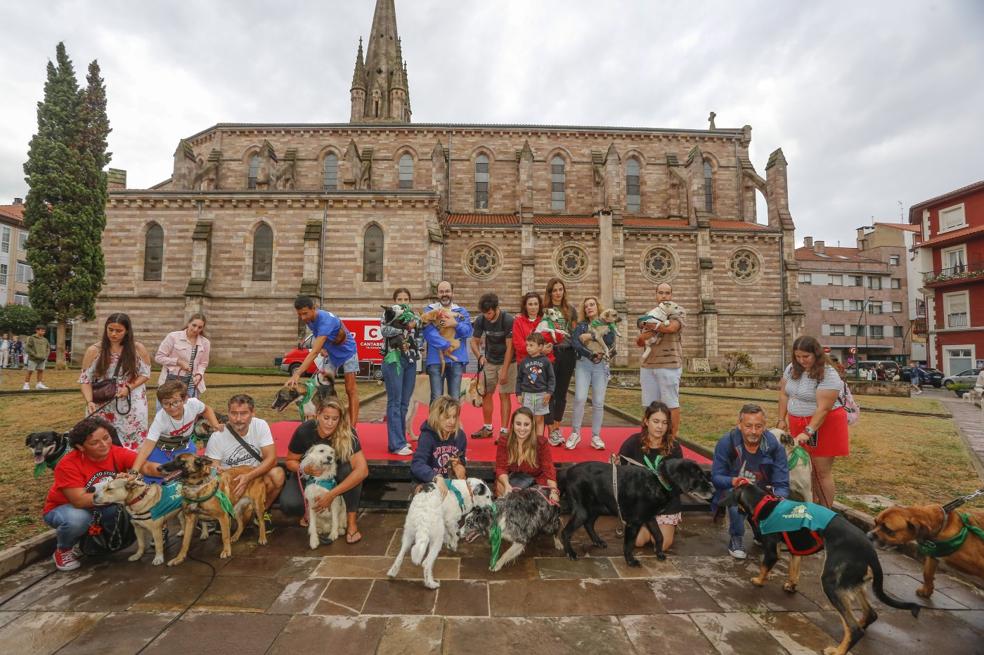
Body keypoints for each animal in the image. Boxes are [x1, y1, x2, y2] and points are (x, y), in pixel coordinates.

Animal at [560, 458, 716, 568]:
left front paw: (659, 553)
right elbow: (629, 544)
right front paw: (630, 561)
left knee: (588, 524)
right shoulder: (634, 522)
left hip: (597, 507)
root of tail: (568, 471)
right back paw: (570, 553)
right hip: (583, 510)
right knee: (566, 532)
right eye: (699, 477)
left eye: (704, 475)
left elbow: (659, 536)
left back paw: (597, 541)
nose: (714, 490)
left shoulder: (649, 518)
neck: (659, 481)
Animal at [720, 482, 920, 655]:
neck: (765, 503)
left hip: (831, 583)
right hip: (853, 583)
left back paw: (838, 650)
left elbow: (764, 567)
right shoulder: (795, 551)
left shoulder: (771, 550)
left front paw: (758, 581)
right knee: (869, 614)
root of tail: (870, 551)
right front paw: (791, 585)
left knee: (853, 627)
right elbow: (794, 569)